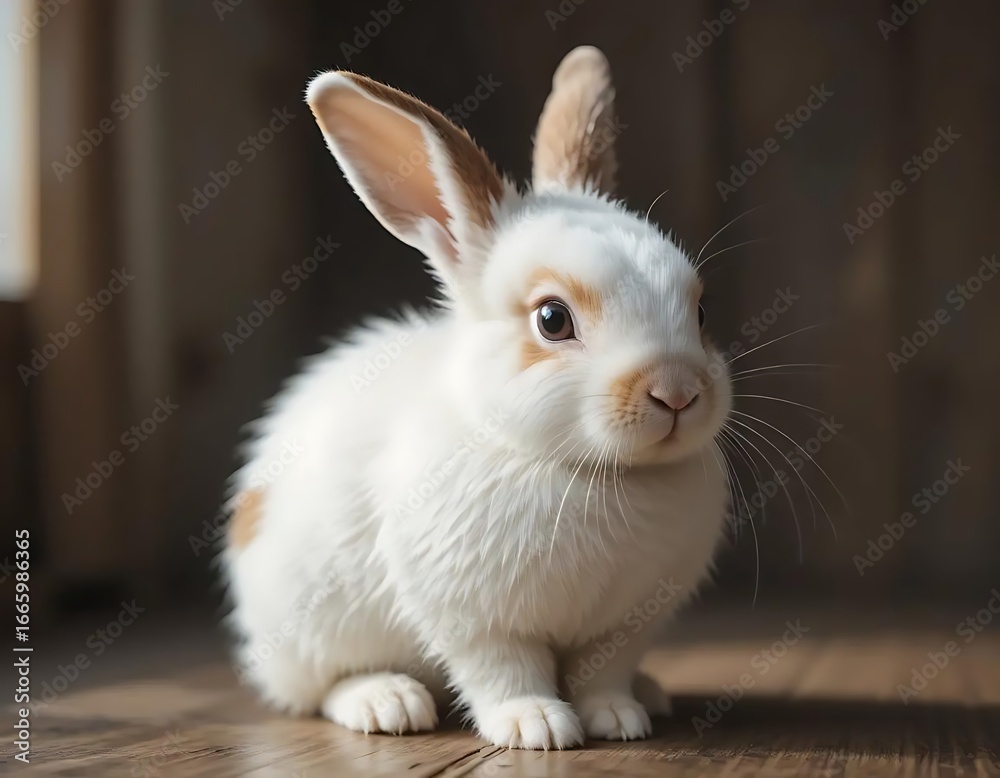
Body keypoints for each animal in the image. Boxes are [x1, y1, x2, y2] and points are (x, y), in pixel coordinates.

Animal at [223, 45, 732, 750]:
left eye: (702, 310)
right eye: (552, 319)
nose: (678, 391)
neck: (593, 471)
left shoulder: (624, 624)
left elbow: (604, 672)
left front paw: (618, 719)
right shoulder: (477, 619)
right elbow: (503, 671)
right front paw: (537, 726)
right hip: (311, 631)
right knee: (319, 688)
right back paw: (386, 703)